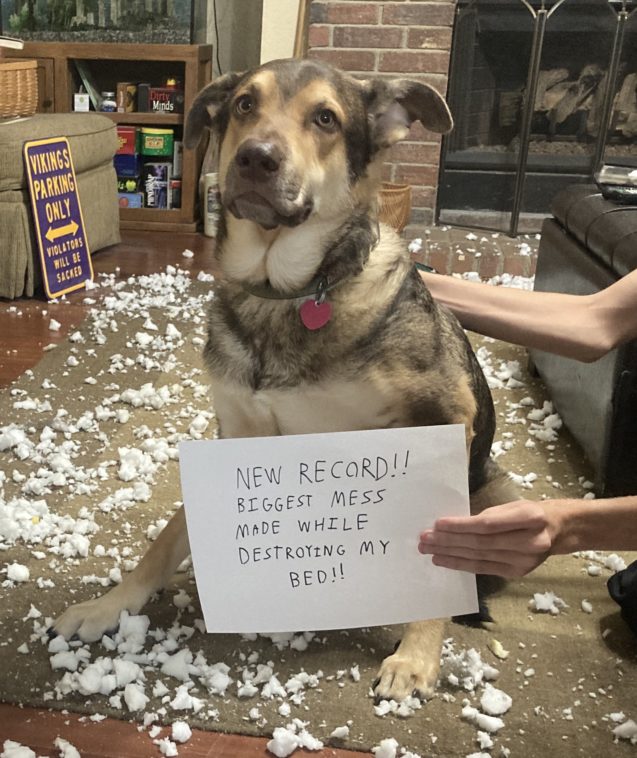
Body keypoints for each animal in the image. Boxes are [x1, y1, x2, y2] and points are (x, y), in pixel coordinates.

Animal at [52, 59, 516, 708]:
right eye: (245, 104)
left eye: (326, 118)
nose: (256, 158)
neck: (287, 293)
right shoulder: (237, 439)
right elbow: (167, 538)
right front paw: (109, 605)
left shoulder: (443, 416)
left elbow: (438, 554)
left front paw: (416, 654)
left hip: (498, 498)